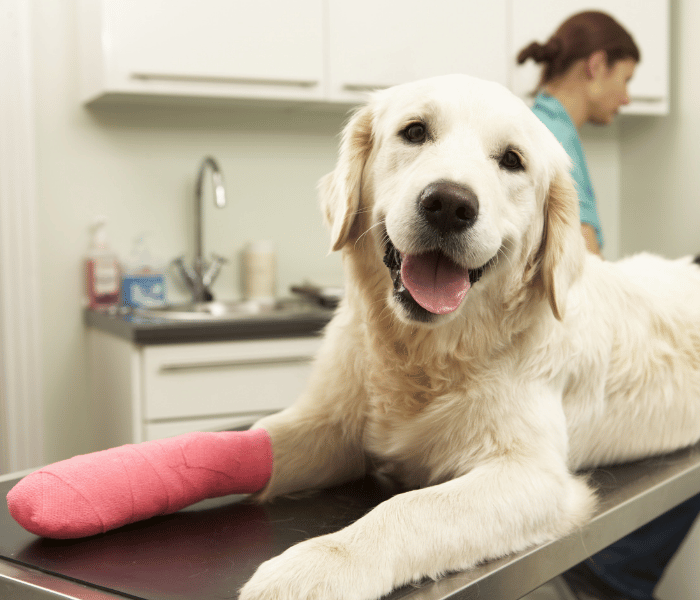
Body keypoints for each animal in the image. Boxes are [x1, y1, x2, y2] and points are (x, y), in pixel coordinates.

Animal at [239, 74, 700, 600]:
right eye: (415, 132)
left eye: (512, 160)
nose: (449, 204)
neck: (427, 353)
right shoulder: (330, 424)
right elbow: (260, 439)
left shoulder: (531, 475)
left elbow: (411, 507)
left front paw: (315, 566)